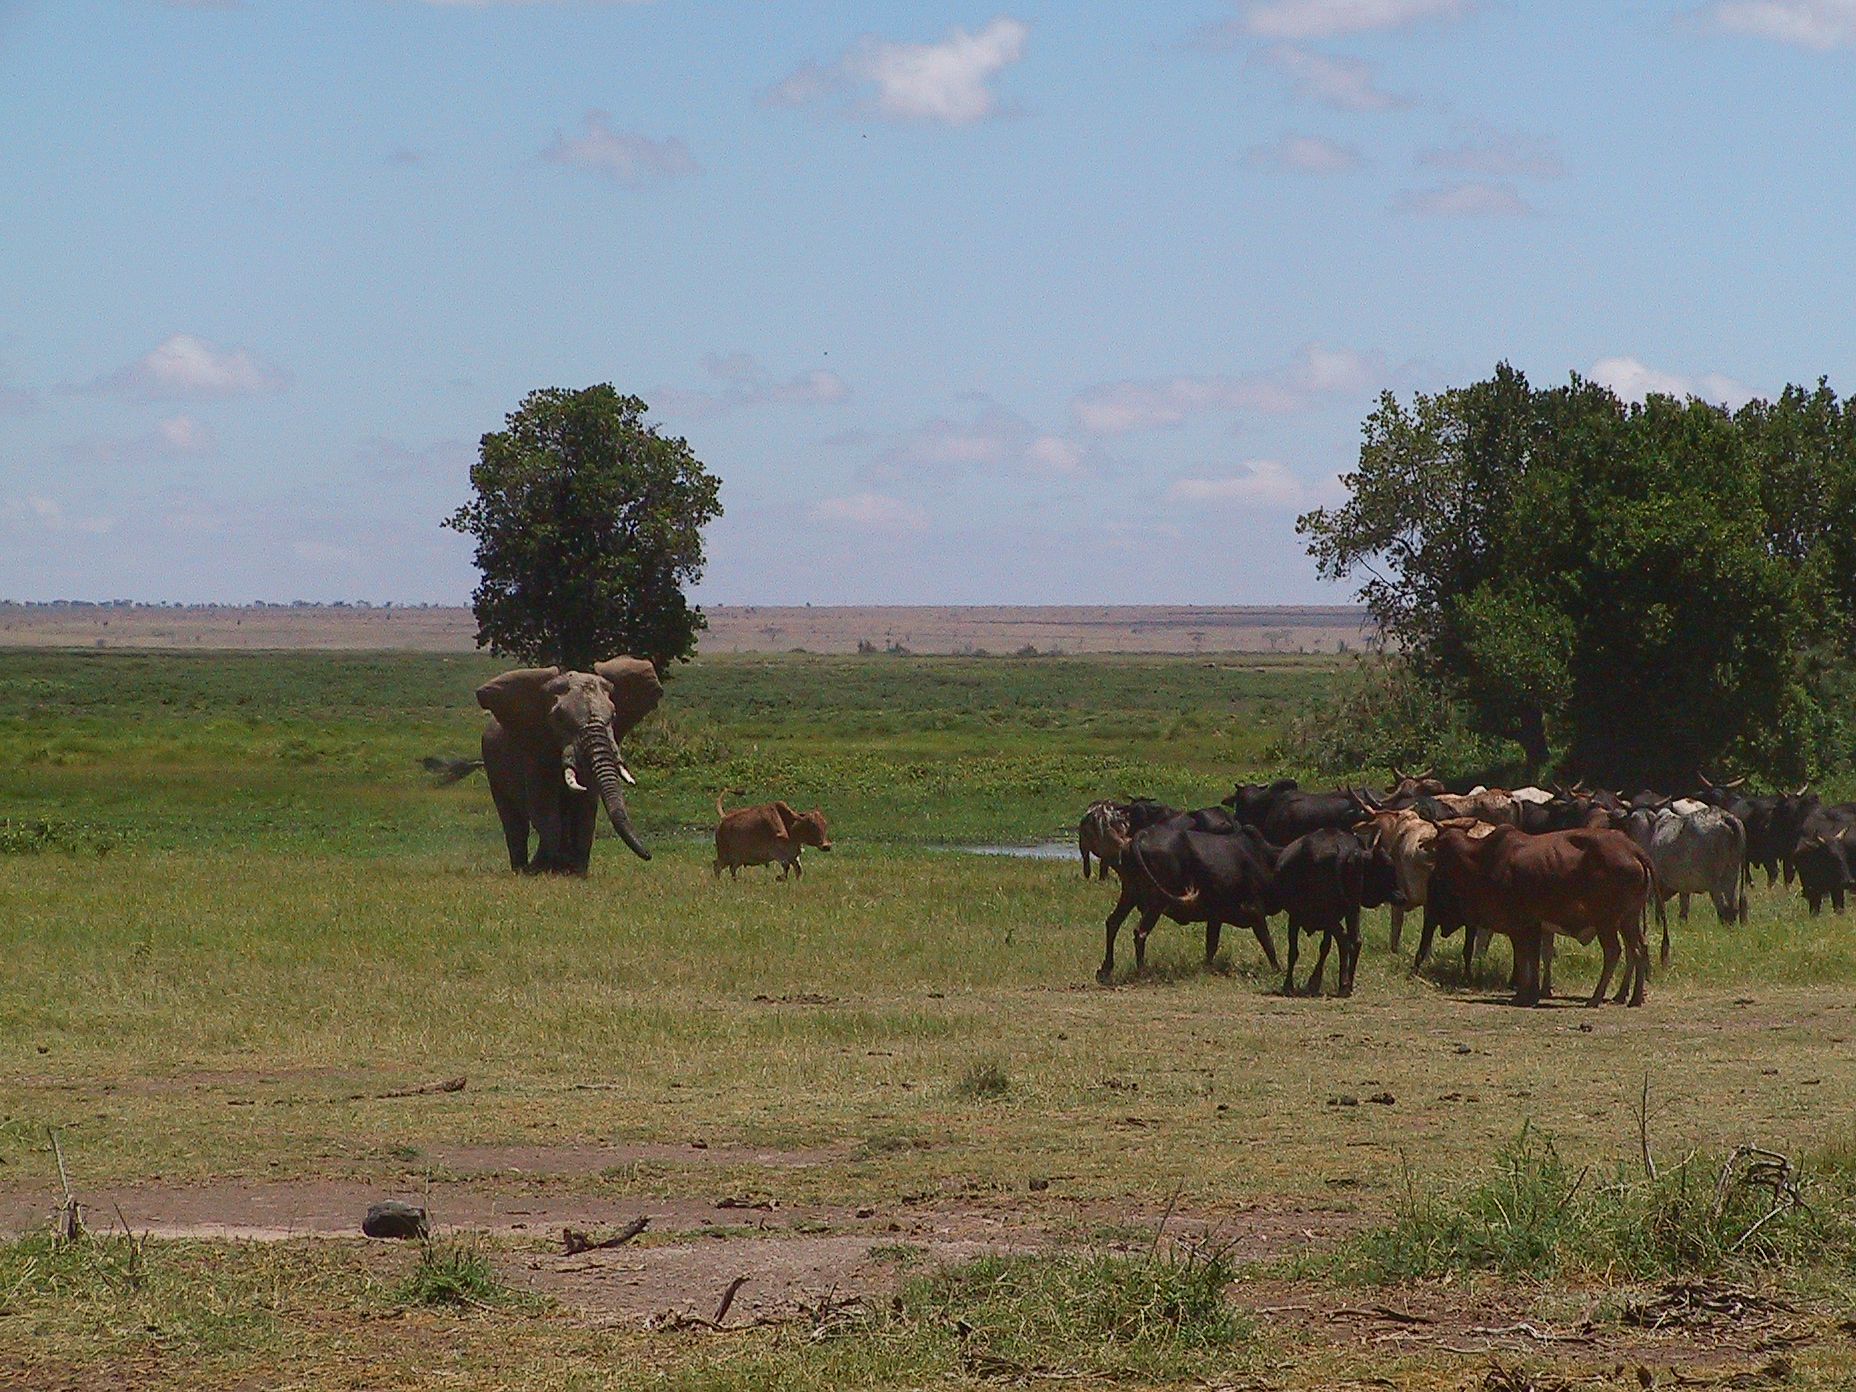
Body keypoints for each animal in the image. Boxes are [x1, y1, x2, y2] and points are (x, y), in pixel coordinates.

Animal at [475, 658, 663, 874]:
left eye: (614, 715)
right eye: (559, 718)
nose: (649, 855)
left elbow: (586, 809)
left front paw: (575, 872)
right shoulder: (535, 750)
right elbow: (543, 808)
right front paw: (545, 869)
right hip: (492, 765)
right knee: (514, 822)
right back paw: (522, 869)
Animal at [1098, 823, 1280, 983]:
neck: (1267, 860)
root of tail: (1143, 834)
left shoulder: (1215, 917)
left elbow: (1211, 945)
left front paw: (1207, 968)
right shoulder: (1255, 911)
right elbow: (1268, 943)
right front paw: (1277, 970)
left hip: (1130, 893)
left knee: (1113, 922)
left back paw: (1106, 969)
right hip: (1157, 902)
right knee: (1140, 932)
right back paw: (1142, 972)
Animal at [1267, 828, 1402, 997]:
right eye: (1387, 868)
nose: (1401, 896)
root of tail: (1344, 850)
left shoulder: (1295, 917)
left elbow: (1294, 952)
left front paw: (1289, 985)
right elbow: (1325, 947)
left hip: (1329, 916)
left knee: (1344, 940)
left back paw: (1342, 984)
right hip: (1351, 910)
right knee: (1355, 940)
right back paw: (1347, 984)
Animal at [1424, 824, 1658, 1007]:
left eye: (1438, 846)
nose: (1425, 852)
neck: (1482, 859)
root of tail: (1633, 849)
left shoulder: (1520, 925)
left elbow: (1526, 958)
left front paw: (1526, 995)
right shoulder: (1530, 926)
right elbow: (1530, 958)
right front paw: (1528, 994)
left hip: (1606, 921)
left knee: (1614, 952)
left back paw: (1596, 998)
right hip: (1628, 919)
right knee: (1639, 949)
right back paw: (1633, 998)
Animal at [1619, 804, 1747, 947]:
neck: (1651, 832)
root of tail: (1724, 816)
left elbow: (1659, 908)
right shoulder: (1684, 887)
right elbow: (1683, 912)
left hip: (1715, 883)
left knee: (1723, 909)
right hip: (1732, 876)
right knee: (1733, 908)